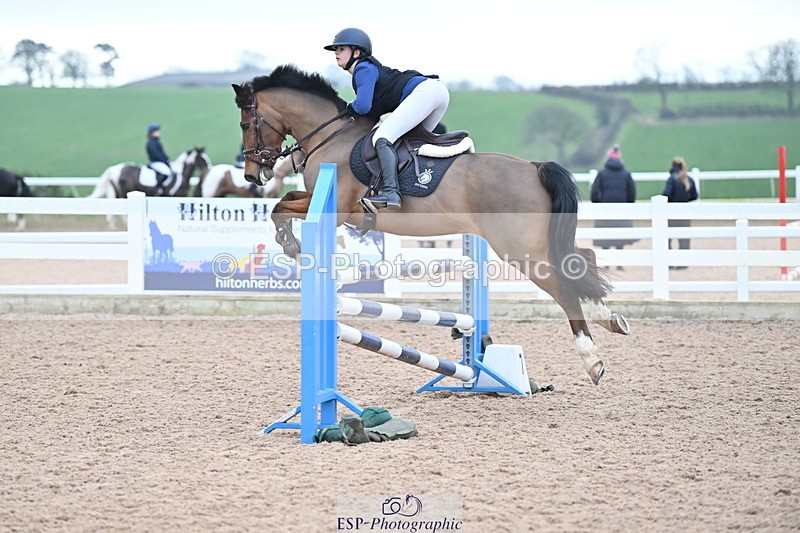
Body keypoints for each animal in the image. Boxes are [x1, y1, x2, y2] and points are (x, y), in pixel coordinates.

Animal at [232, 64, 630, 386]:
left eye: (246, 124)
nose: (253, 175)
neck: (330, 137)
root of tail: (534, 167)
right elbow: (283, 203)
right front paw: (292, 245)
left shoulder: (338, 210)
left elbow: (280, 208)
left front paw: (293, 247)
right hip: (535, 243)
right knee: (582, 260)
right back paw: (609, 318)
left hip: (522, 250)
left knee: (564, 288)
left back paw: (593, 362)